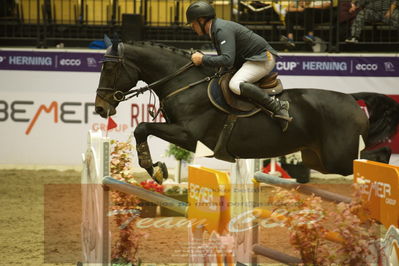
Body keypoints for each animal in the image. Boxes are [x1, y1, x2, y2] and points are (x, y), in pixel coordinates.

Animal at [94, 39, 396, 184]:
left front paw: (155, 170)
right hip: (317, 158)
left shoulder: (188, 135)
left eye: (109, 68)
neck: (184, 83)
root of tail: (351, 98)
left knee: (375, 157)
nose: (99, 108)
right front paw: (157, 169)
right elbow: (143, 129)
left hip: (338, 157)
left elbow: (141, 127)